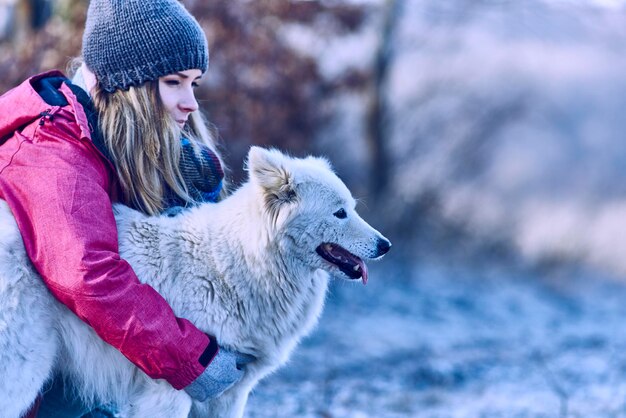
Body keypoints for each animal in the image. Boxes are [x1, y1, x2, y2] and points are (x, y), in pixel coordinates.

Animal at [0, 147, 390, 418]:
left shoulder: (230, 394)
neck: (235, 264)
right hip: (23, 367)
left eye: (352, 208)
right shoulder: (171, 391)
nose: (384, 245)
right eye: (339, 213)